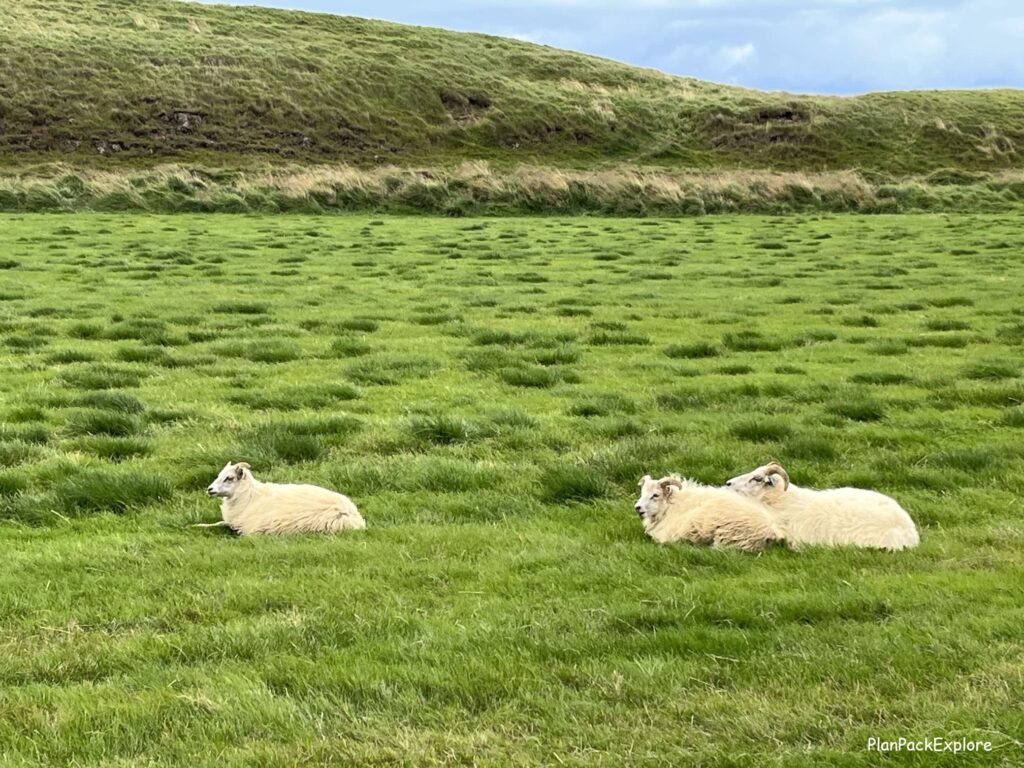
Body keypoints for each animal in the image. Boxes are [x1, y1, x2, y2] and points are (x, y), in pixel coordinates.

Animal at [197, 461, 365, 535]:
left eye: (229, 478)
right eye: (219, 475)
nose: (209, 489)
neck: (249, 497)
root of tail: (355, 515)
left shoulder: (247, 526)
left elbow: (221, 524)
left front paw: (199, 526)